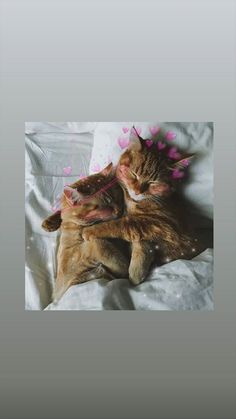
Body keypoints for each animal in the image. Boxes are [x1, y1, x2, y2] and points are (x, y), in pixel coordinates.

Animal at [82, 130, 204, 286]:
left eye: (153, 182)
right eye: (134, 174)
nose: (137, 191)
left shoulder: (161, 224)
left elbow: (123, 226)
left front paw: (91, 230)